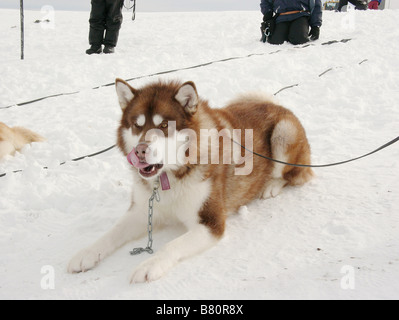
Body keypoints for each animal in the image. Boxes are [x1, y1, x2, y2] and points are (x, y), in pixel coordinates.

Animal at [67, 79, 314, 284]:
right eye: (137, 124)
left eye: (164, 126)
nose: (140, 151)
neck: (168, 178)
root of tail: (276, 104)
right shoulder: (142, 211)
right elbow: (112, 232)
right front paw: (87, 253)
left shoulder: (210, 223)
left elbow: (170, 246)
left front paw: (149, 265)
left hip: (284, 133)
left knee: (295, 175)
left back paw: (271, 185)